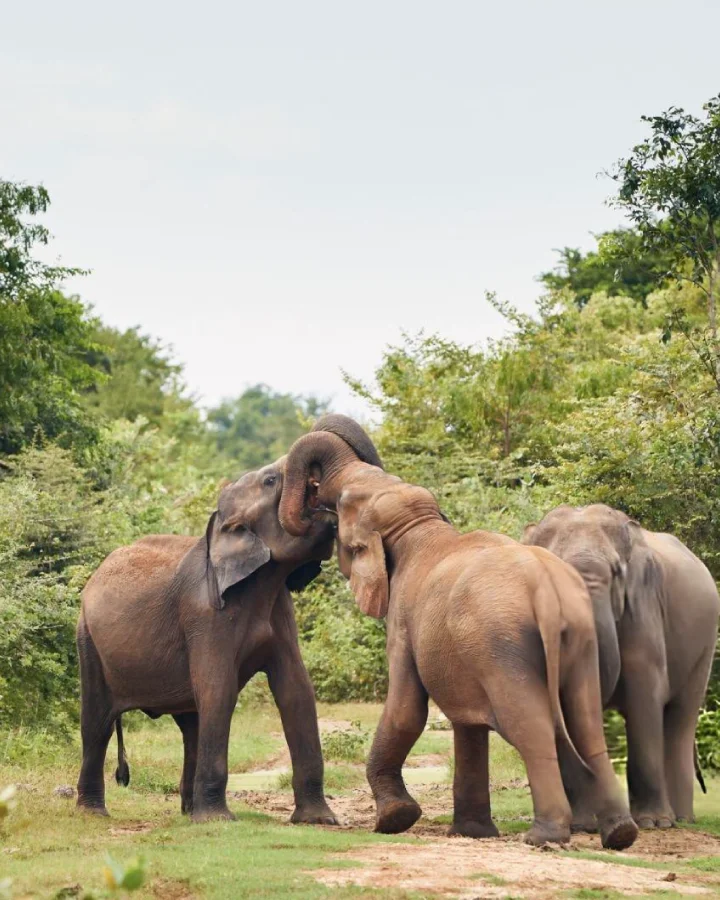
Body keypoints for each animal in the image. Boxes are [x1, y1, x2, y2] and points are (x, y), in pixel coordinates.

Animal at [76, 455, 347, 824]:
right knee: (97, 723)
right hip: (88, 639)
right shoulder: (204, 615)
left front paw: (319, 820)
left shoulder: (281, 612)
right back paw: (94, 813)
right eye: (270, 480)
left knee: (191, 723)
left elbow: (296, 690)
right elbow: (219, 689)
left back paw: (189, 812)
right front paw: (219, 821)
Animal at [277, 420, 638, 850]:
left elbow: (407, 710)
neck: (419, 526)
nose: (315, 501)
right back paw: (620, 834)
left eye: (343, 501)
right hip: (579, 639)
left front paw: (396, 819)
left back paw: (542, 836)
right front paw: (471, 833)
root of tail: (546, 594)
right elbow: (467, 725)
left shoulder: (403, 623)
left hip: (504, 647)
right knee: (587, 724)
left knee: (530, 727)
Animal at [523, 504, 720, 829]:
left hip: (705, 644)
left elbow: (645, 694)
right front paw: (582, 825)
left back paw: (680, 819)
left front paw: (653, 823)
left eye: (617, 572)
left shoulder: (642, 605)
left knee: (681, 717)